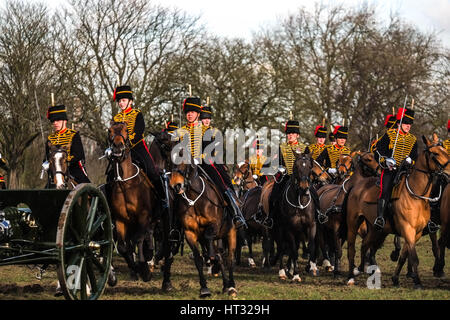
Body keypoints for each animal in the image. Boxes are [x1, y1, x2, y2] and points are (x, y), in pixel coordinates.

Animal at [107, 122, 172, 288]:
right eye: (109, 131)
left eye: (125, 130)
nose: (117, 148)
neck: (125, 184)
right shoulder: (121, 220)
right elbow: (124, 247)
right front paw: (136, 268)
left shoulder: (143, 217)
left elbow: (139, 240)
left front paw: (144, 269)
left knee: (159, 241)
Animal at [170, 158, 239, 298]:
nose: (176, 185)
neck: (194, 198)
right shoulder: (190, 233)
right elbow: (198, 259)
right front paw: (204, 288)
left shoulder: (215, 225)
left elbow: (212, 247)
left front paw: (211, 259)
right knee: (219, 256)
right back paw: (225, 284)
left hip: (231, 233)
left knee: (229, 259)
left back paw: (231, 287)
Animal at [346, 134, 448, 288]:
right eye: (435, 153)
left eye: (445, 151)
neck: (416, 195)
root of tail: (356, 186)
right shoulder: (408, 228)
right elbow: (414, 257)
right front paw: (417, 282)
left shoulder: (417, 232)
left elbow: (404, 256)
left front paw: (395, 278)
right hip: (353, 223)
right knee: (352, 249)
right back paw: (351, 277)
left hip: (376, 229)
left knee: (365, 245)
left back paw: (362, 269)